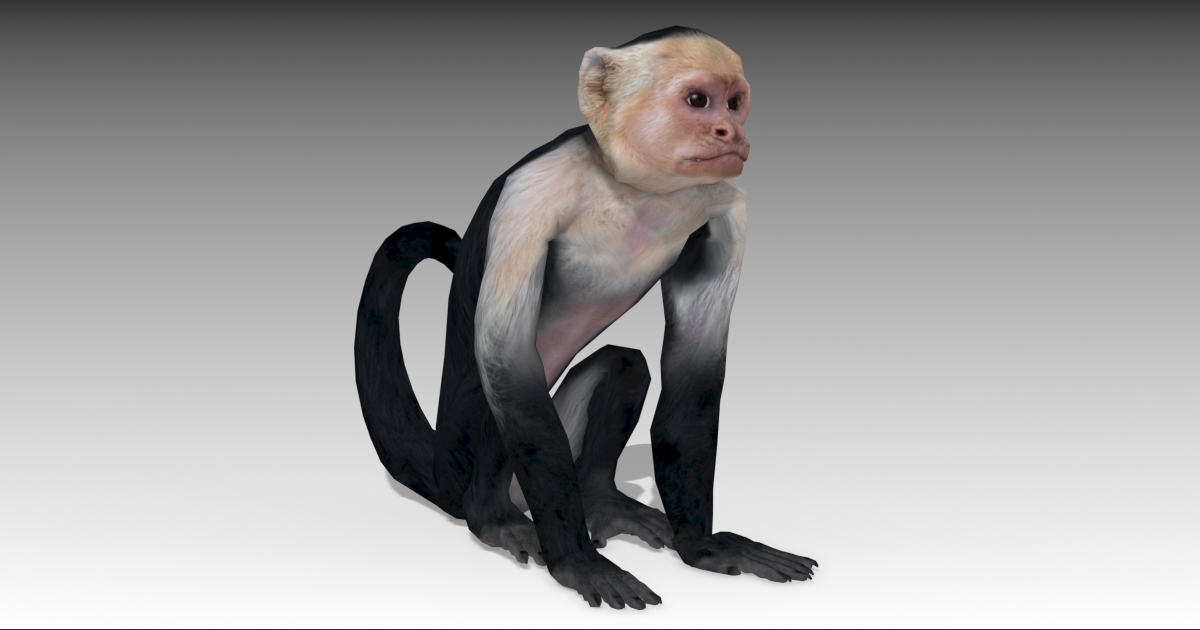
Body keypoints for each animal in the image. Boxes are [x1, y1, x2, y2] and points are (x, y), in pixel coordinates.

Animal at [355, 27, 816, 609]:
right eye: (698, 100)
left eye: (735, 102)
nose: (729, 130)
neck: (636, 189)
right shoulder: (530, 196)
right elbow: (508, 367)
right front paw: (575, 562)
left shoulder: (726, 205)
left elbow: (694, 373)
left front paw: (704, 546)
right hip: (468, 464)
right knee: (495, 399)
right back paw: (493, 517)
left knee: (626, 364)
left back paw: (602, 501)